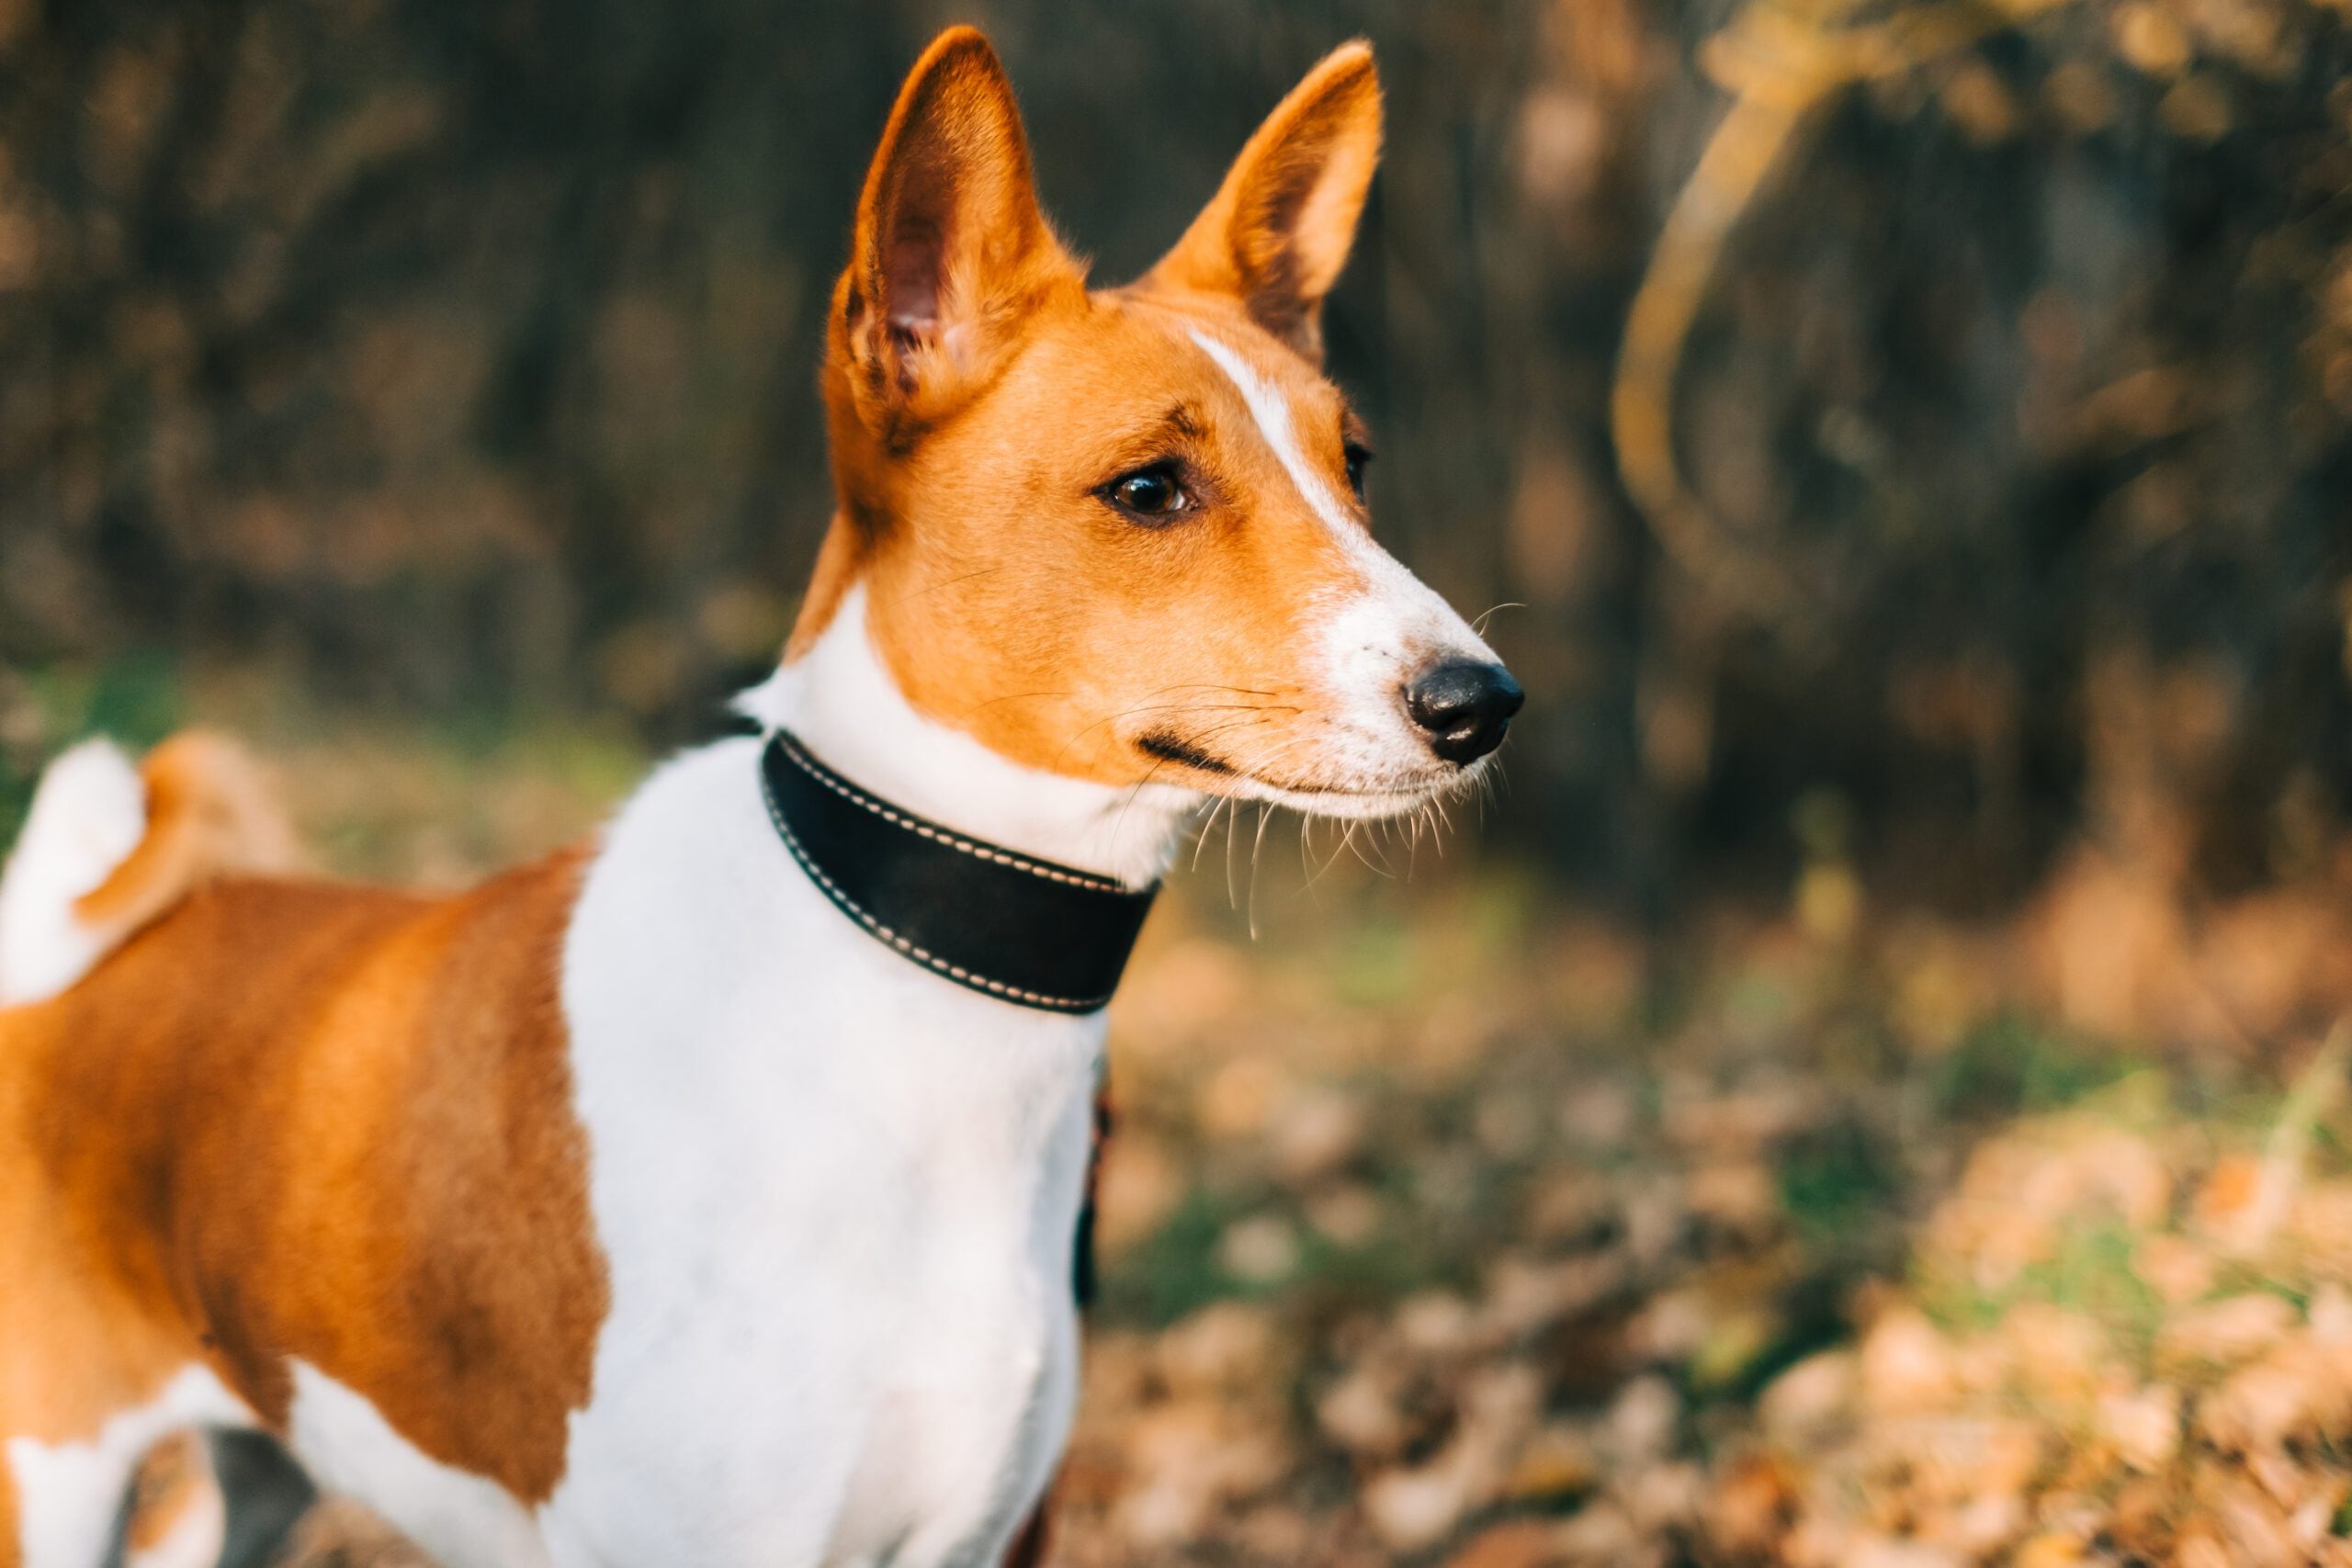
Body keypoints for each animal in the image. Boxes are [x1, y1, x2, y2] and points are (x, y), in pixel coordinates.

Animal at [0, 28, 1523, 1568]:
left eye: (1354, 467)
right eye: (1150, 487)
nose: (1481, 700)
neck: (917, 978)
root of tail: (63, 968)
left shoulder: (980, 1533)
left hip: (263, 1469)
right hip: (53, 1475)